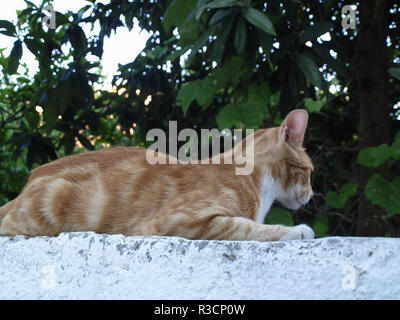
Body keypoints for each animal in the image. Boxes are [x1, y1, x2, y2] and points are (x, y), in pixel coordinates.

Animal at [0, 109, 312, 240]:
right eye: (309, 172)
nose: (311, 194)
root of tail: (29, 181)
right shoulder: (179, 221)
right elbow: (248, 227)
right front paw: (297, 230)